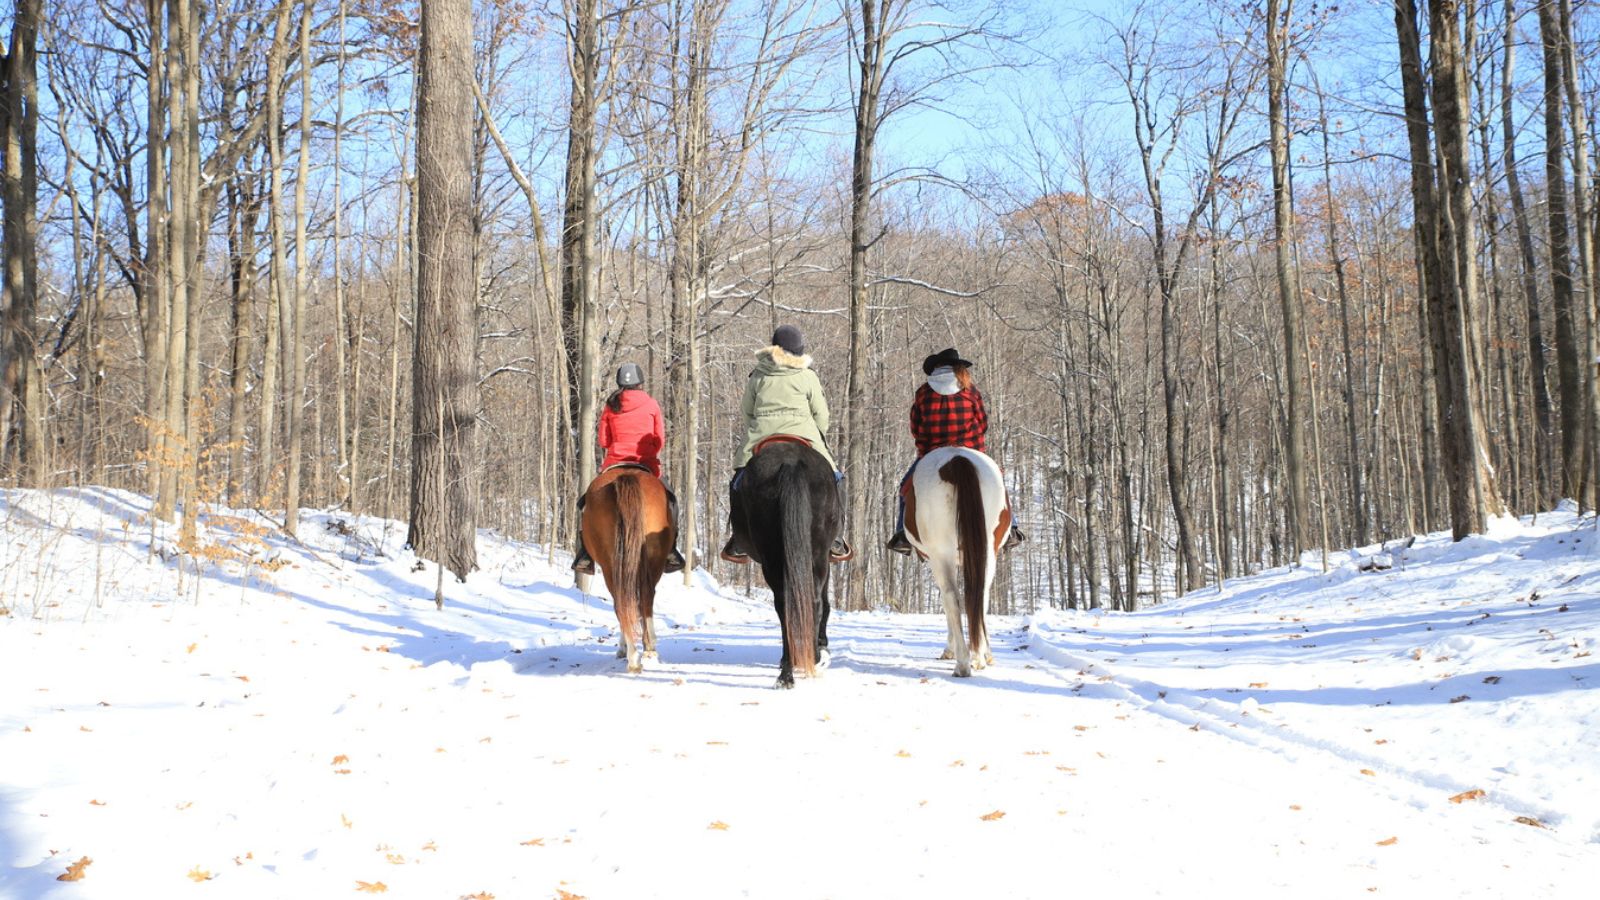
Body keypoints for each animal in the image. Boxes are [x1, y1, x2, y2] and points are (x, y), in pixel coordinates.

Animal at [579, 464, 672, 669]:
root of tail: (627, 476)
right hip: (653, 560)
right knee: (645, 596)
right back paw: (647, 648)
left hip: (609, 564)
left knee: (621, 600)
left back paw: (632, 654)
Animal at [732, 435, 844, 685]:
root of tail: (790, 462)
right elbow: (826, 603)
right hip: (813, 555)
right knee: (811, 602)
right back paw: (807, 660)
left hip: (777, 556)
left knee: (790, 604)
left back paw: (788, 671)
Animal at [908, 441, 1004, 672]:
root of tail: (957, 459)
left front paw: (949, 649)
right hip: (987, 553)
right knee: (979, 595)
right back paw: (977, 657)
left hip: (940, 555)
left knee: (952, 597)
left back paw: (963, 663)